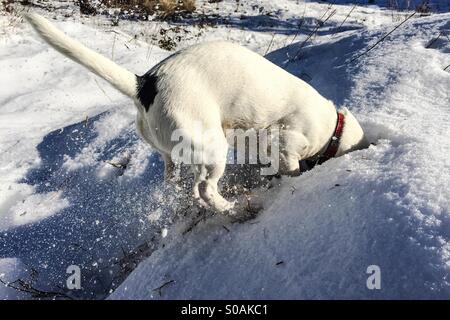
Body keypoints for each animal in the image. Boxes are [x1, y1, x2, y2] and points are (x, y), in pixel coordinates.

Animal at [25, 13, 370, 212]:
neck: (333, 126)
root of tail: (145, 83)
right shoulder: (285, 143)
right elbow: (291, 167)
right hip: (213, 148)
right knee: (205, 188)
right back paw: (228, 207)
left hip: (176, 150)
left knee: (177, 178)